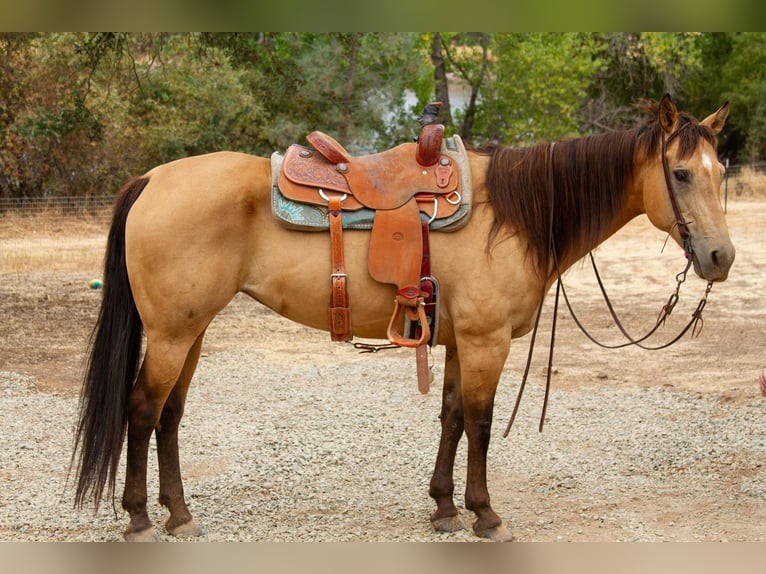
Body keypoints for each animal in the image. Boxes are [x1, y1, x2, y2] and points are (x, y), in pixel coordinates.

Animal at [73, 95, 736, 544]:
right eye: (681, 173)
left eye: (721, 172)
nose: (720, 257)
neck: (512, 215)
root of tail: (152, 178)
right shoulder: (486, 341)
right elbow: (481, 424)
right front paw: (485, 514)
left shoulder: (459, 341)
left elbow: (451, 418)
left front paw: (443, 507)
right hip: (171, 334)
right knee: (141, 411)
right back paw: (139, 519)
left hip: (191, 331)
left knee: (170, 415)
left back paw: (179, 515)